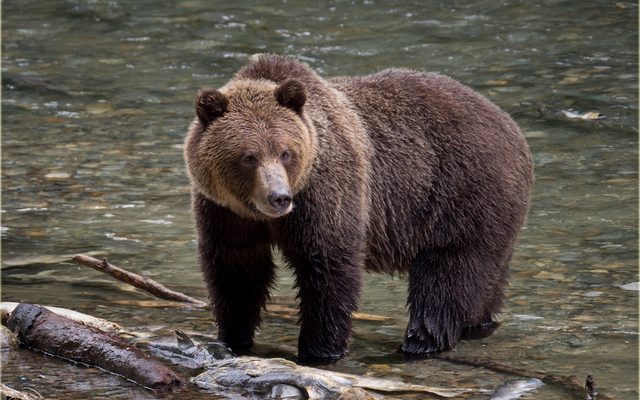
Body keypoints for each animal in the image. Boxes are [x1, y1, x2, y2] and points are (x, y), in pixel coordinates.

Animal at [184, 54, 534, 362]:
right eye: (248, 156)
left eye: (285, 152)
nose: (279, 197)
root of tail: (512, 128)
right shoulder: (225, 212)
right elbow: (237, 270)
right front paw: (232, 336)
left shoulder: (325, 191)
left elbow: (328, 266)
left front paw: (319, 349)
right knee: (486, 279)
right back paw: (477, 324)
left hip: (463, 193)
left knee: (448, 272)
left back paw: (421, 342)